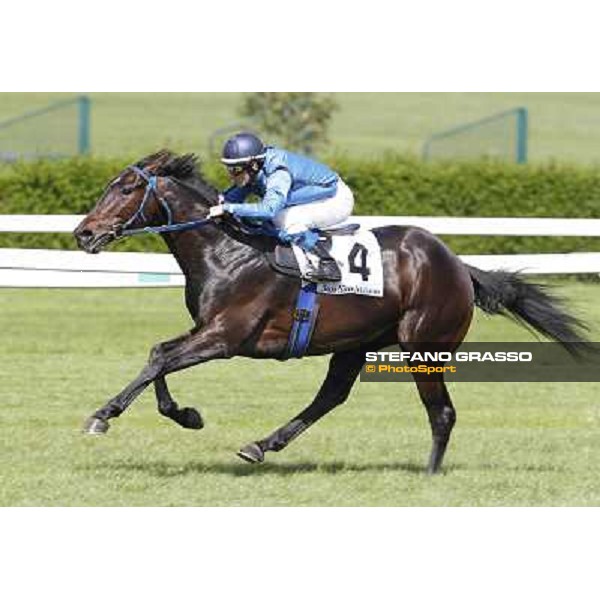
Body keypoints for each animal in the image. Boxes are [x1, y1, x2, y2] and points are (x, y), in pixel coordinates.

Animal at [74, 150, 592, 474]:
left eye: (125, 189)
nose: (83, 233)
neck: (225, 248)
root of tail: (457, 264)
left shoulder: (225, 336)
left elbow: (160, 358)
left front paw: (103, 414)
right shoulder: (206, 330)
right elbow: (158, 353)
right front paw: (185, 415)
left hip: (423, 346)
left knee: (441, 412)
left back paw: (429, 474)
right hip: (356, 343)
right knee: (331, 397)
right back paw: (261, 445)